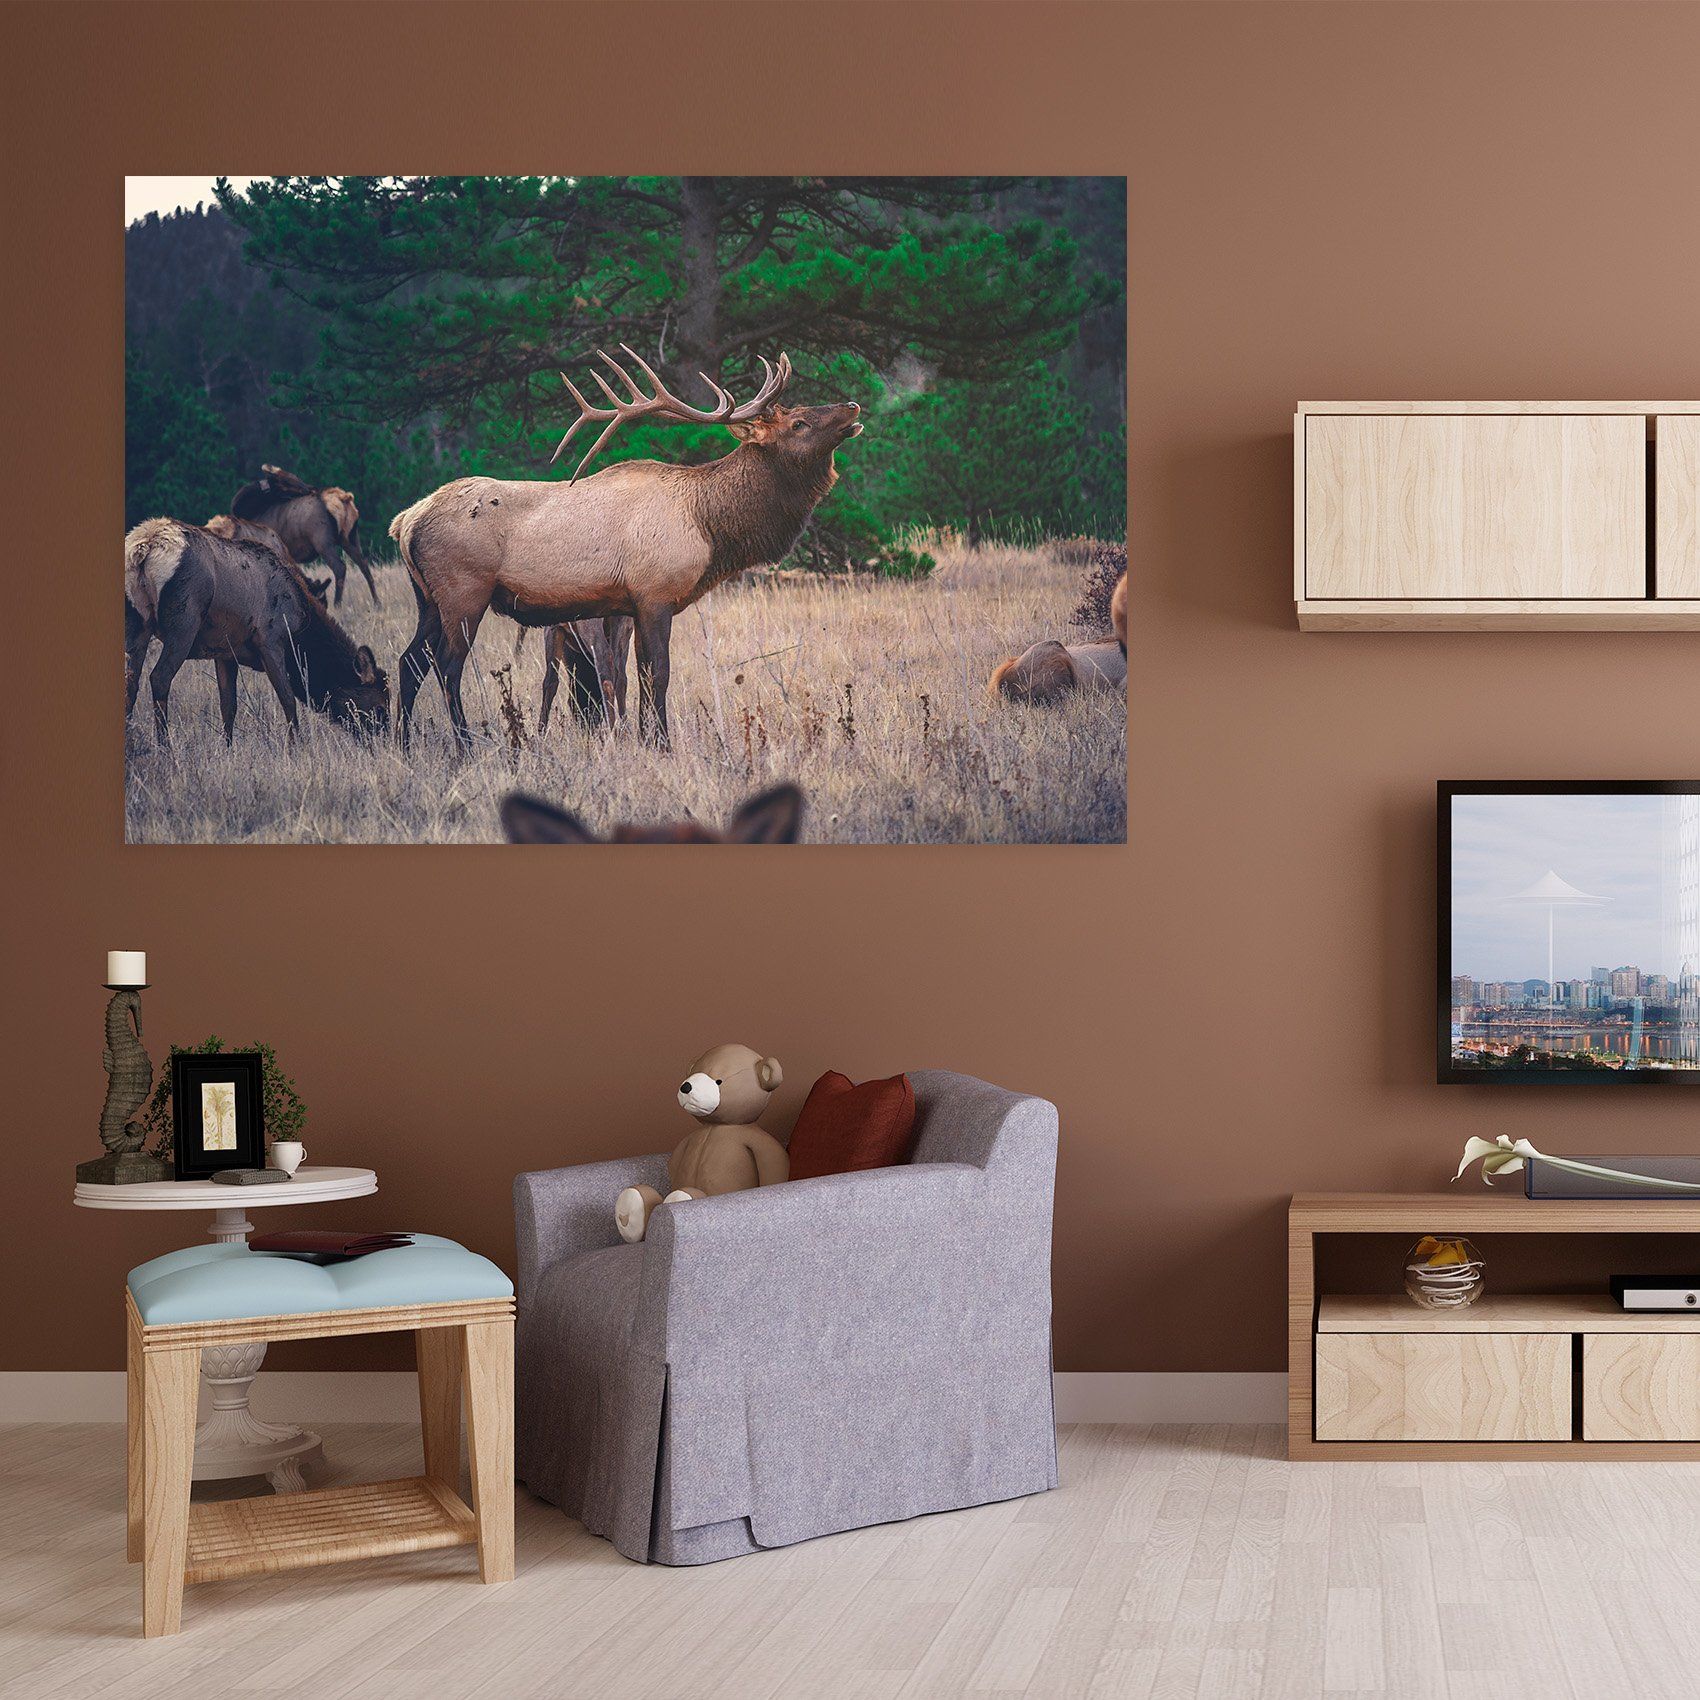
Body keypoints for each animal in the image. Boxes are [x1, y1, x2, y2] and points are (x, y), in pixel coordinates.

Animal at [125, 518, 389, 746]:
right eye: (379, 706)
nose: (384, 743)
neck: (301, 627)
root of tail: (144, 548)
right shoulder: (270, 641)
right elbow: (288, 701)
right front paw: (295, 749)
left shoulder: (225, 652)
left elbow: (228, 706)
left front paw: (228, 749)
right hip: (184, 622)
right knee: (159, 678)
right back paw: (165, 748)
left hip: (137, 626)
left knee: (131, 684)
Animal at [390, 347, 862, 750]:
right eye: (798, 423)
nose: (853, 407)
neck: (708, 525)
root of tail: (406, 522)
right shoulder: (655, 595)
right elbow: (659, 675)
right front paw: (663, 744)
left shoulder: (628, 605)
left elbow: (637, 677)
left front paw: (645, 739)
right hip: (464, 591)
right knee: (446, 668)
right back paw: (464, 746)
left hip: (427, 599)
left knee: (409, 662)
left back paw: (403, 743)